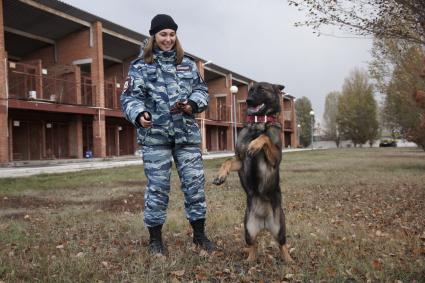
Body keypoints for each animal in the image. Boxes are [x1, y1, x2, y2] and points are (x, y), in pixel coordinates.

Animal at [211, 82, 292, 264]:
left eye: (262, 89)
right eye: (250, 90)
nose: (247, 101)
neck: (258, 123)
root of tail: (264, 222)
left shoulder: (275, 160)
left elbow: (265, 138)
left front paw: (255, 144)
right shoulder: (240, 161)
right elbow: (227, 161)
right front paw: (220, 176)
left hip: (280, 227)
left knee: (282, 244)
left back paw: (289, 260)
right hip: (248, 228)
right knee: (253, 245)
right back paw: (249, 261)